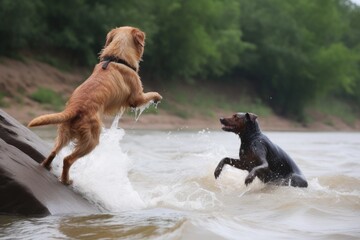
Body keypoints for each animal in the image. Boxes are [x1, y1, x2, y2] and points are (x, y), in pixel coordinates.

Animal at [28, 26, 162, 185]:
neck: (117, 58)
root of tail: (75, 108)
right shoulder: (137, 97)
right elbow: (149, 94)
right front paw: (158, 97)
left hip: (64, 133)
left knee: (54, 151)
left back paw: (46, 165)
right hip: (92, 140)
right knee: (68, 159)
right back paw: (66, 180)